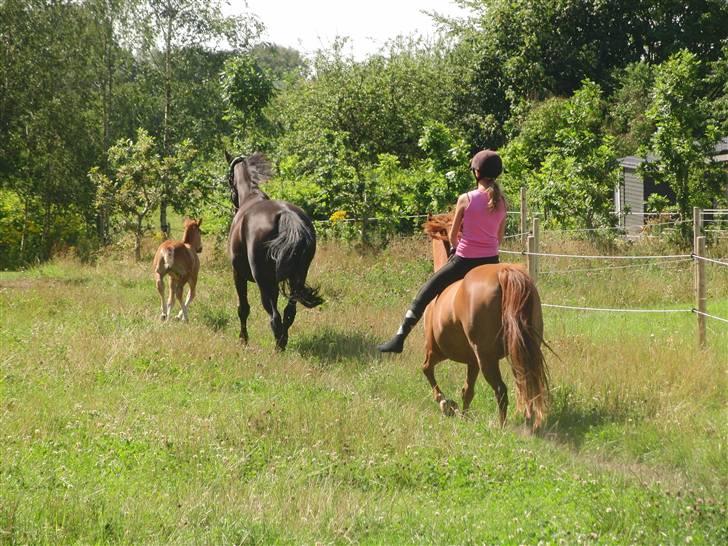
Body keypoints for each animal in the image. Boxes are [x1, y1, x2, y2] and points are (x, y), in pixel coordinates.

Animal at [225, 151, 322, 350]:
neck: (250, 197)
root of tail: (286, 215)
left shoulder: (237, 274)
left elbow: (243, 308)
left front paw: (243, 339)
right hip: (298, 278)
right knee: (289, 312)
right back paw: (283, 342)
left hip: (264, 281)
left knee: (274, 316)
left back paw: (278, 347)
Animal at [420, 212, 544, 430]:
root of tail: (504, 274)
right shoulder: (472, 361)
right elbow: (467, 390)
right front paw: (462, 415)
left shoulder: (436, 351)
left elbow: (427, 369)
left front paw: (446, 404)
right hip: (522, 350)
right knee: (526, 383)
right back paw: (529, 423)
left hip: (487, 357)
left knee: (501, 390)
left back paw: (502, 427)